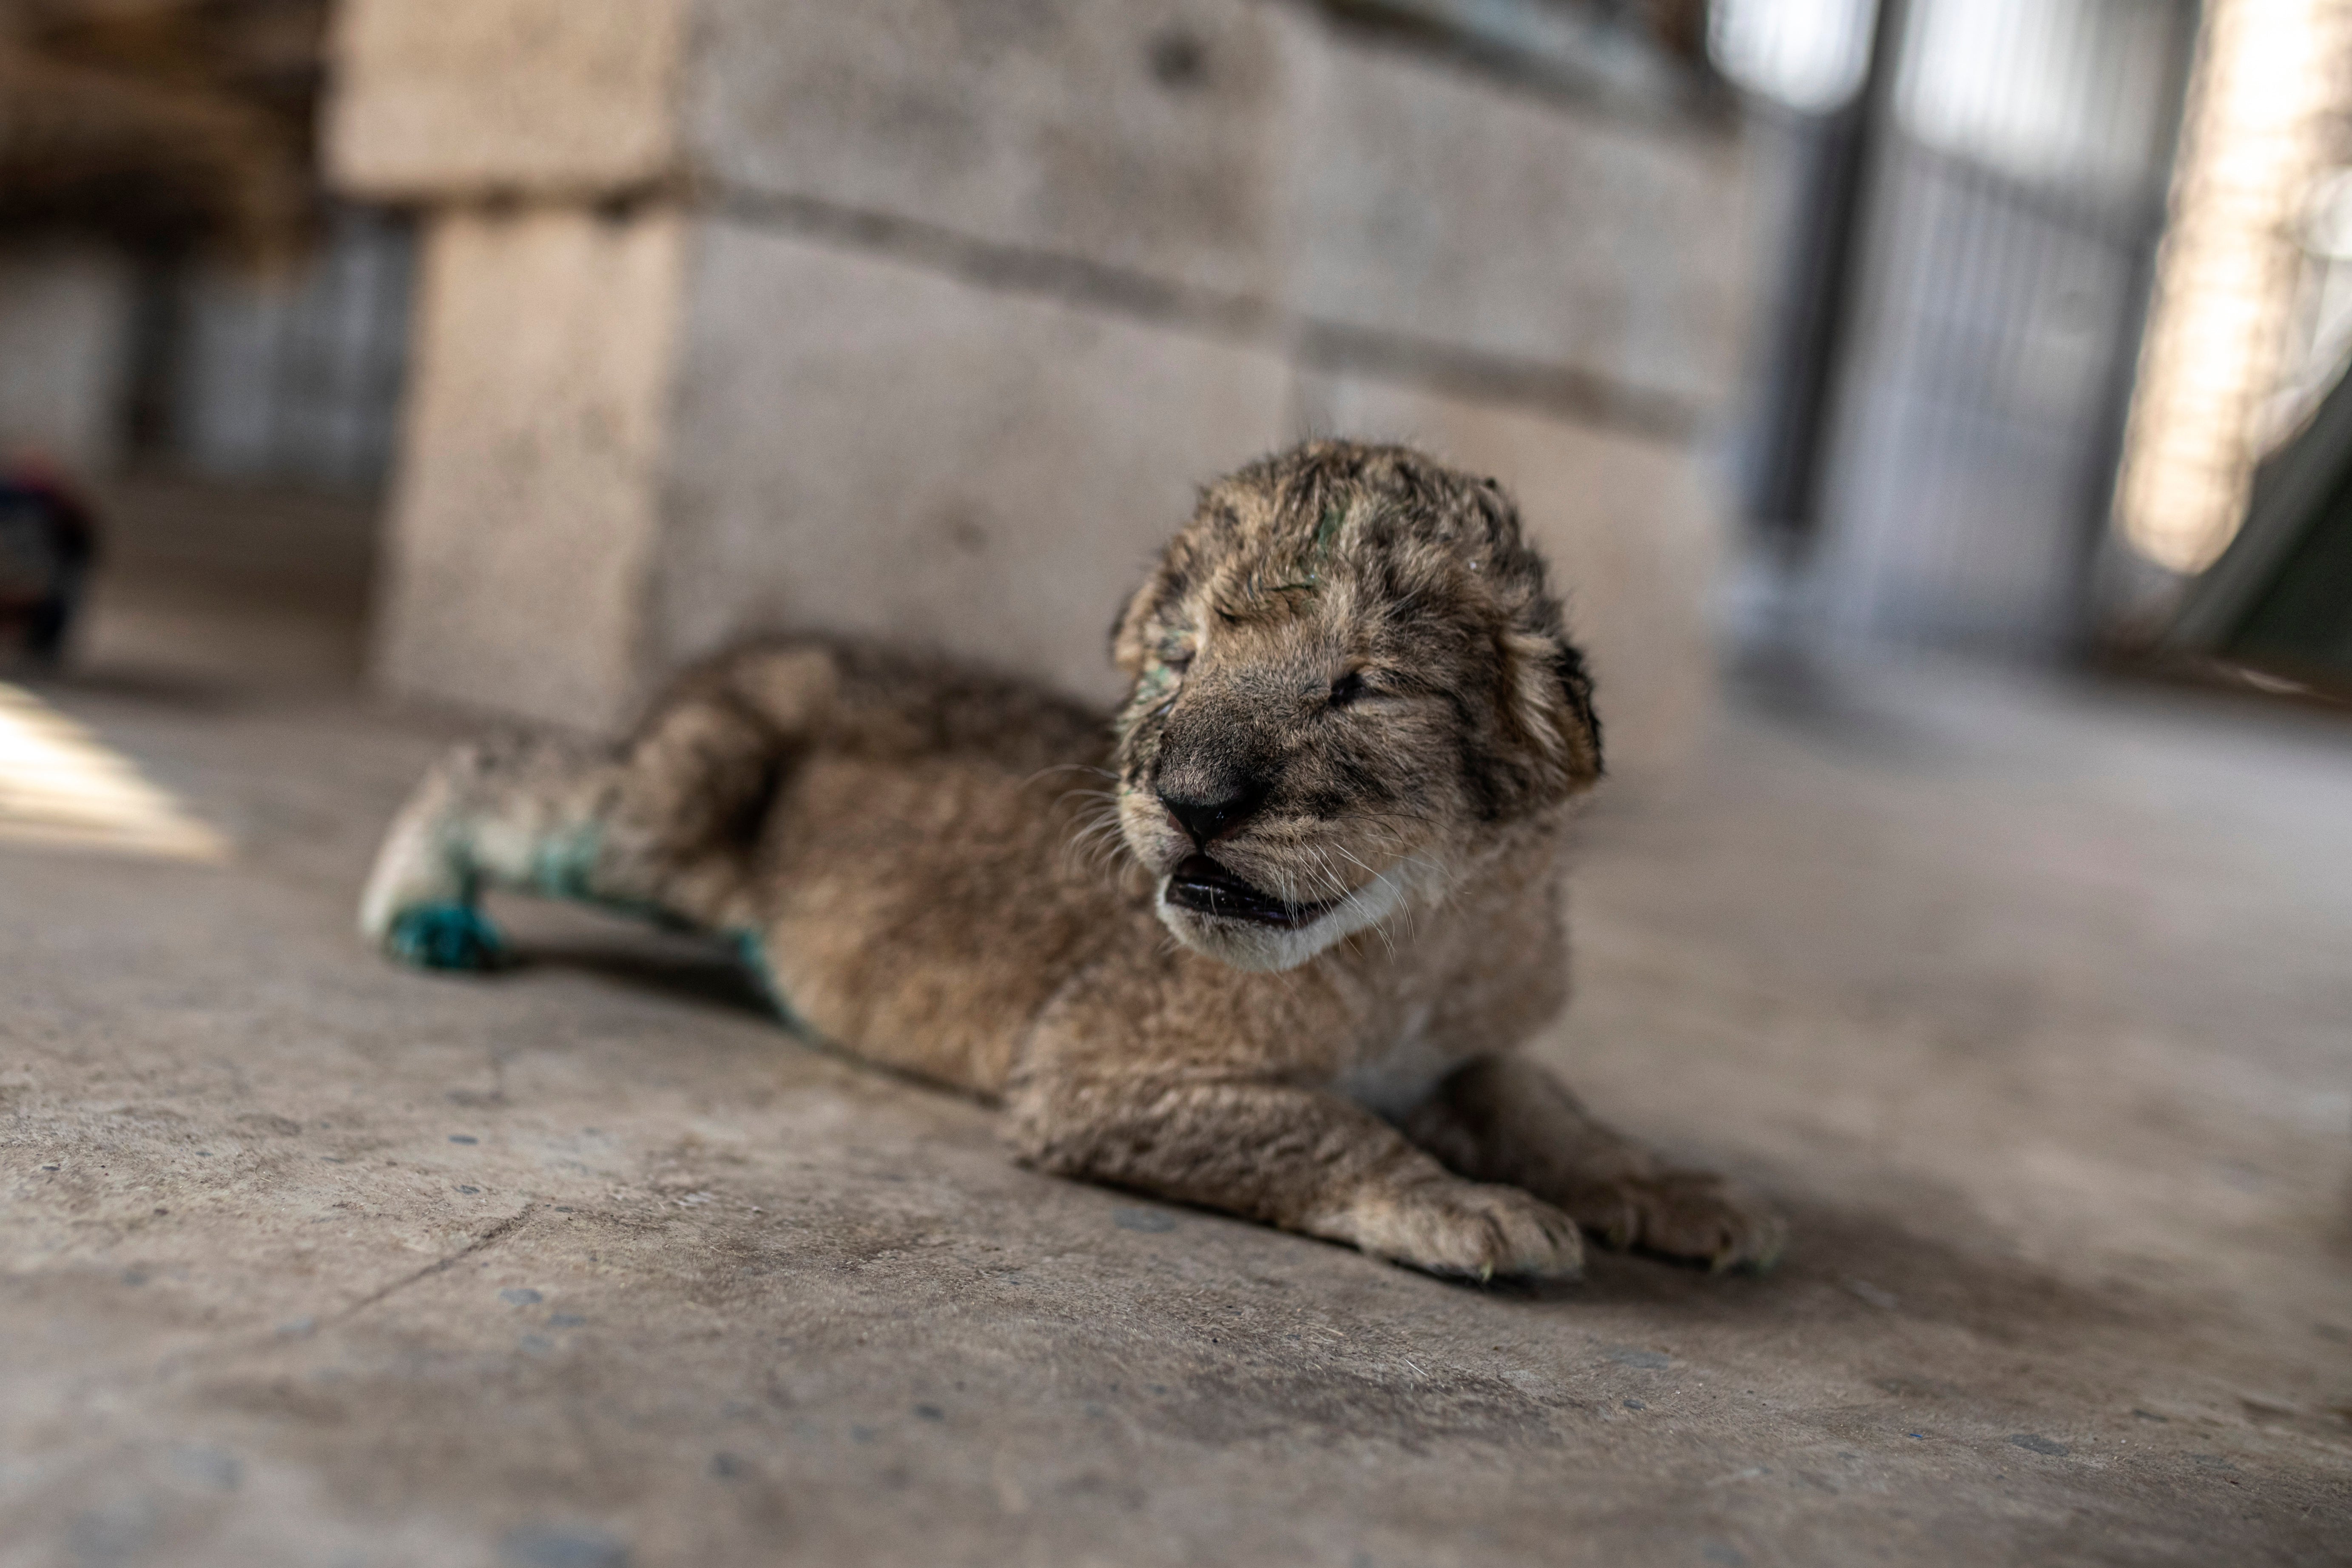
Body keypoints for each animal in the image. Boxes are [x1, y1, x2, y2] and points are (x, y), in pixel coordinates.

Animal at [358, 440, 1783, 1281]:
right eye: (1176, 662)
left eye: (1360, 685)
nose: (1185, 797)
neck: (1414, 939)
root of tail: (756, 641)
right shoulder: (1091, 1071)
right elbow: (1318, 1123)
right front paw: (1469, 1207)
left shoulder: (1473, 1038)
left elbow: (1540, 1100)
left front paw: (1669, 1185)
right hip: (667, 824)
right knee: (496, 764)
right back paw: (421, 910)